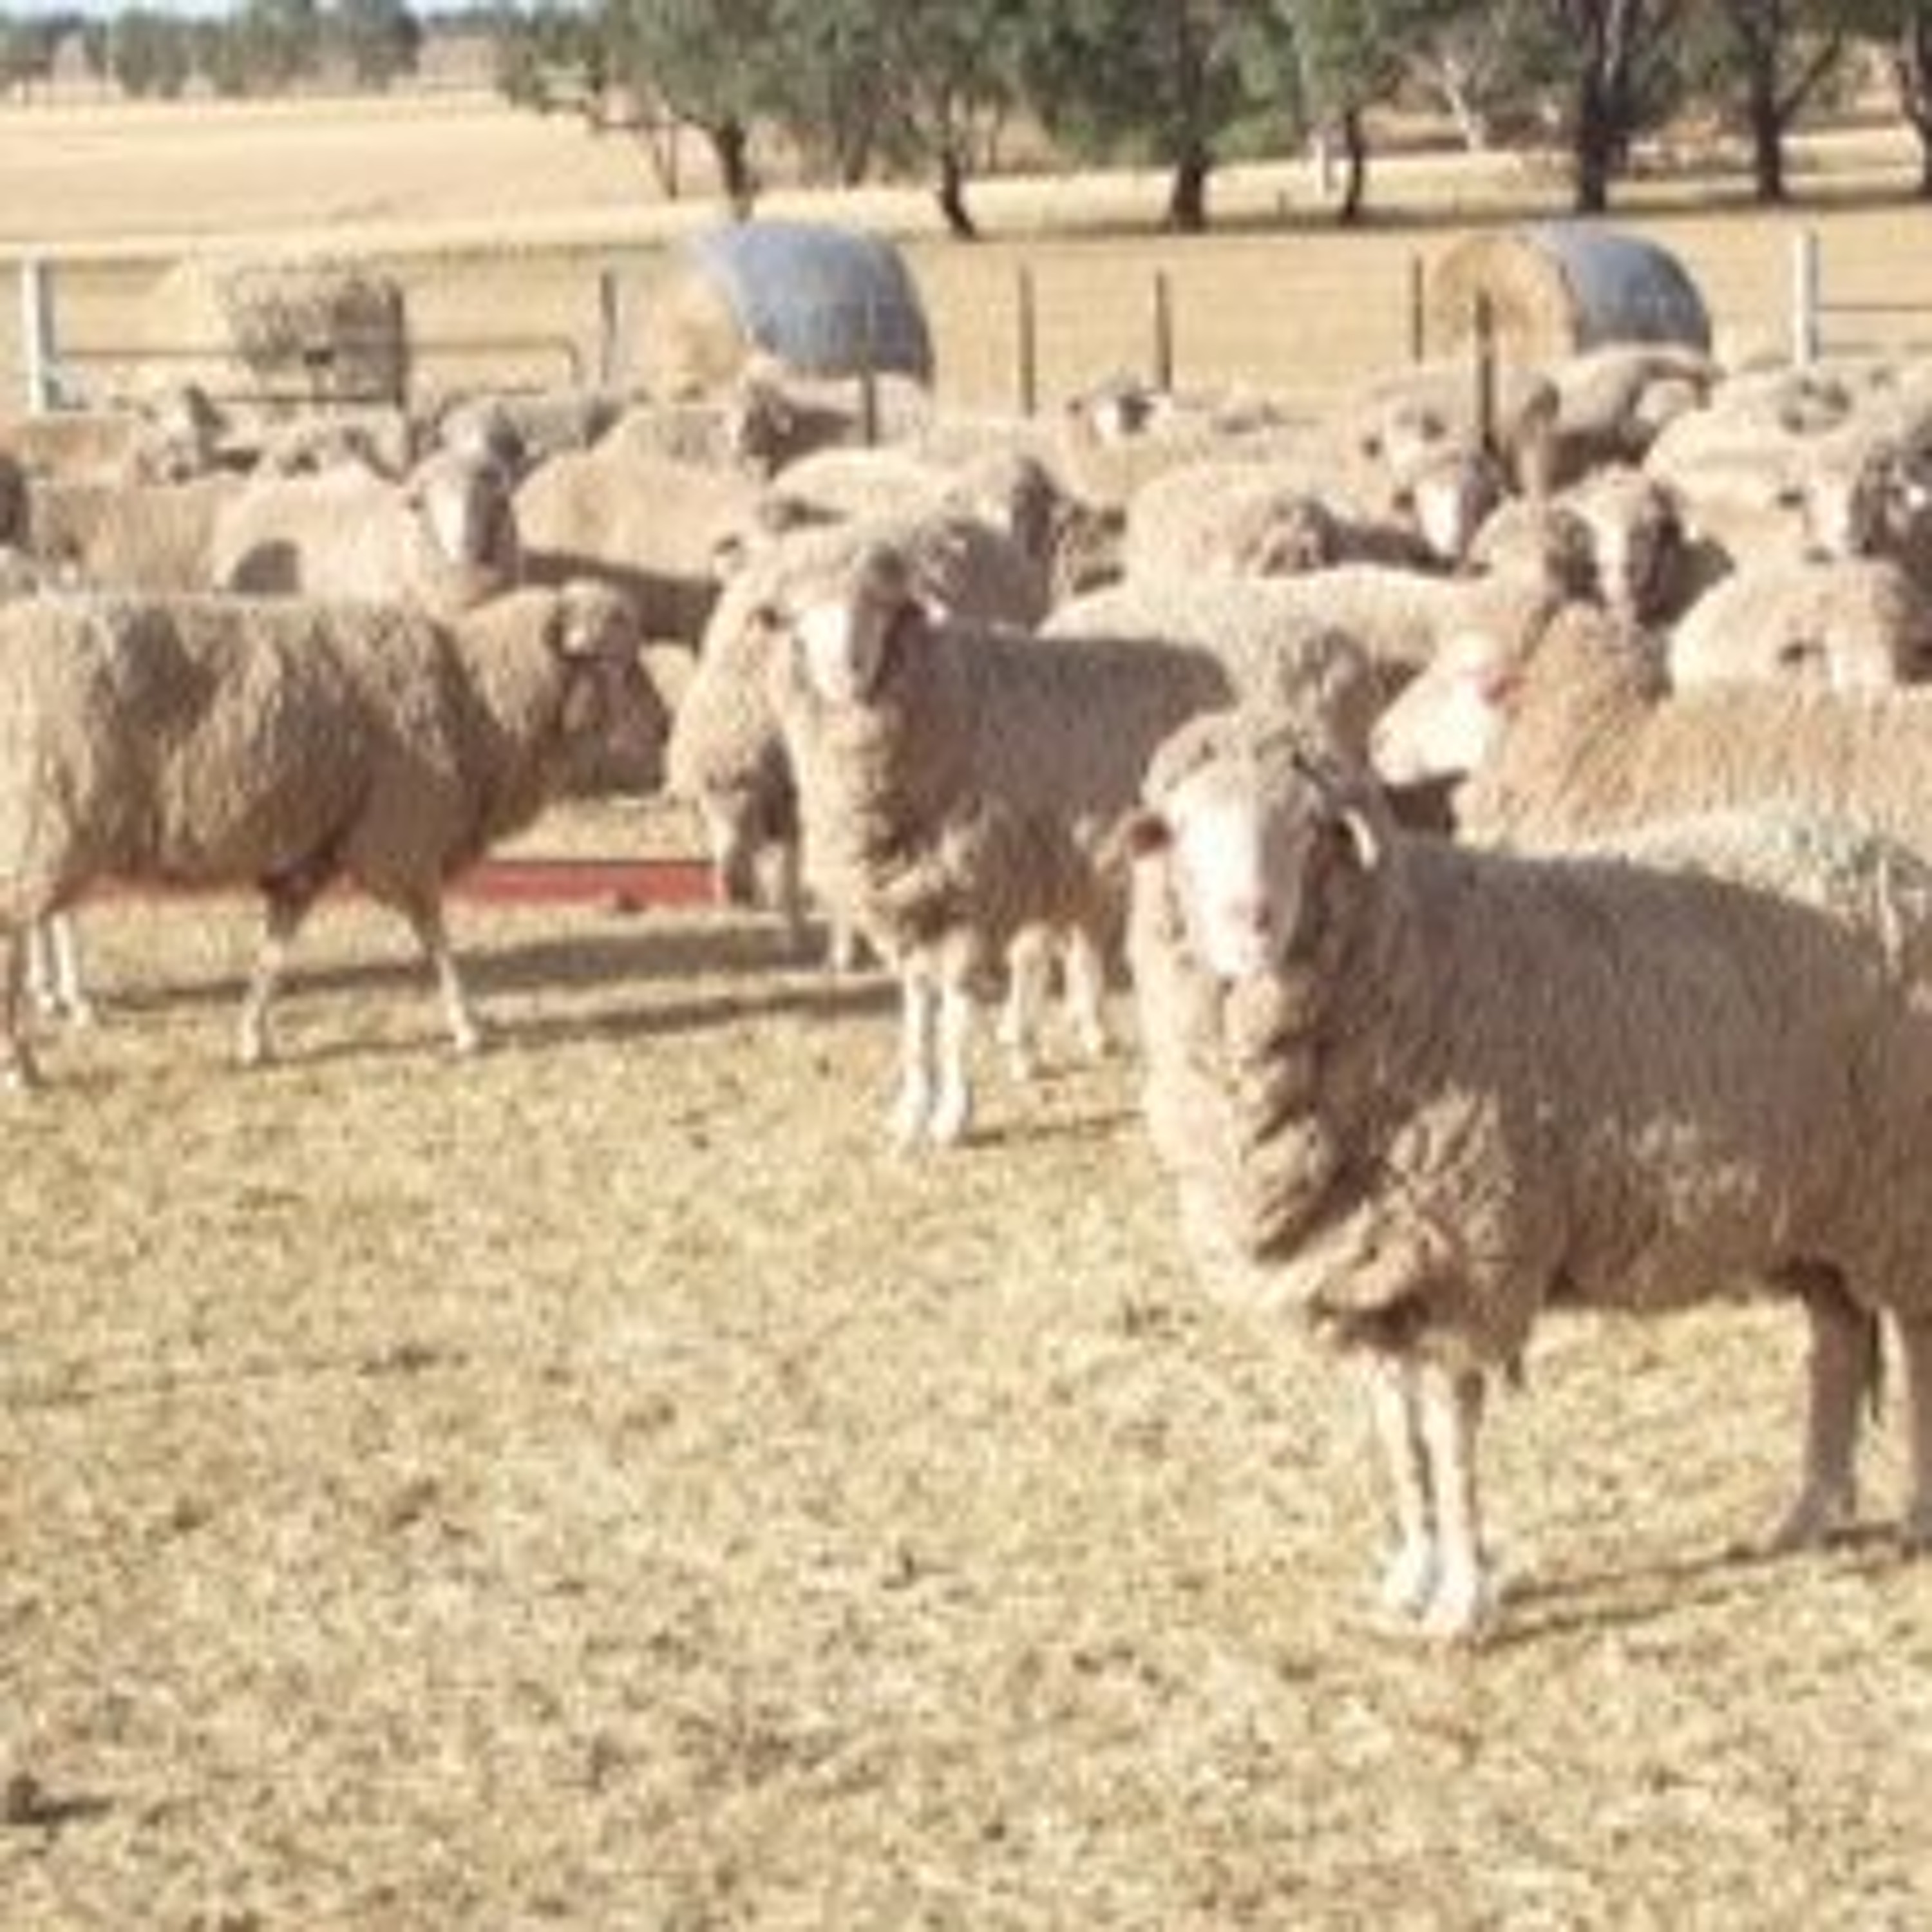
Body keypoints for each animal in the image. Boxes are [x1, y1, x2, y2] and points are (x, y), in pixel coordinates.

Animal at [0, 583, 667, 1089]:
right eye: (615, 659)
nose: (666, 725)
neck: (476, 698)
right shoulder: (400, 832)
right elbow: (436, 936)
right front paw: (468, 1025)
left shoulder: (311, 851)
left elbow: (274, 950)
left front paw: (253, 1038)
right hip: (46, 821)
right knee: (15, 931)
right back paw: (21, 1065)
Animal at [1123, 710, 1932, 1639]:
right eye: (1183, 831)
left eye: (1308, 829)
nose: (1249, 922)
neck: (1410, 958)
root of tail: (1896, 861)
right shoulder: (1370, 1269)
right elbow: (1397, 1429)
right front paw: (1410, 1577)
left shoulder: (1470, 1257)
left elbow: (1449, 1435)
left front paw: (1462, 1600)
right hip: (1819, 1205)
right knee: (1837, 1340)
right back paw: (1806, 1515)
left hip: (1902, 1182)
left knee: (1914, 1335)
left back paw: (1915, 1515)